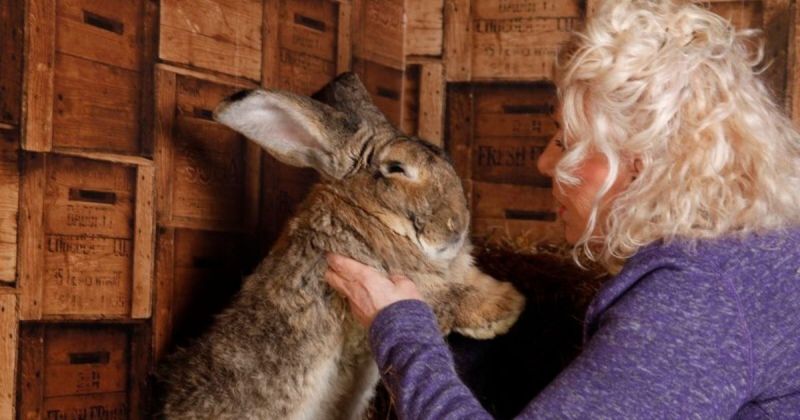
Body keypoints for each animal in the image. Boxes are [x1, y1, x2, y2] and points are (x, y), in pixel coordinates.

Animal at [162, 73, 524, 420]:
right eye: (396, 169)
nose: (456, 226)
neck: (368, 214)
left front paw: (509, 298)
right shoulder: (405, 284)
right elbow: (454, 298)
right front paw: (508, 308)